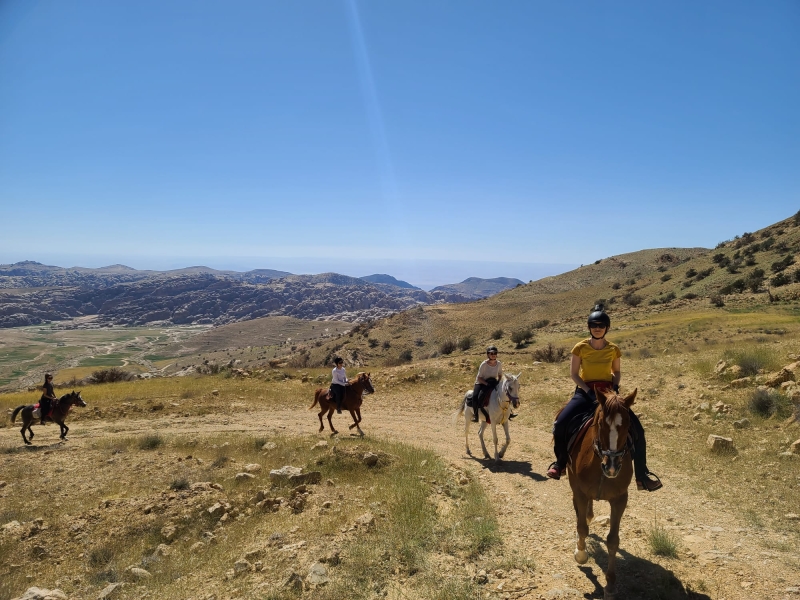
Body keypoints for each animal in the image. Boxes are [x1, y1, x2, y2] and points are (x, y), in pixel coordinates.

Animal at [568, 390, 636, 600]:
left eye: (628, 425)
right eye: (600, 424)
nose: (611, 466)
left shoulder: (620, 499)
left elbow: (613, 541)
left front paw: (611, 585)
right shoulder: (580, 492)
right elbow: (582, 528)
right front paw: (581, 554)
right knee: (580, 516)